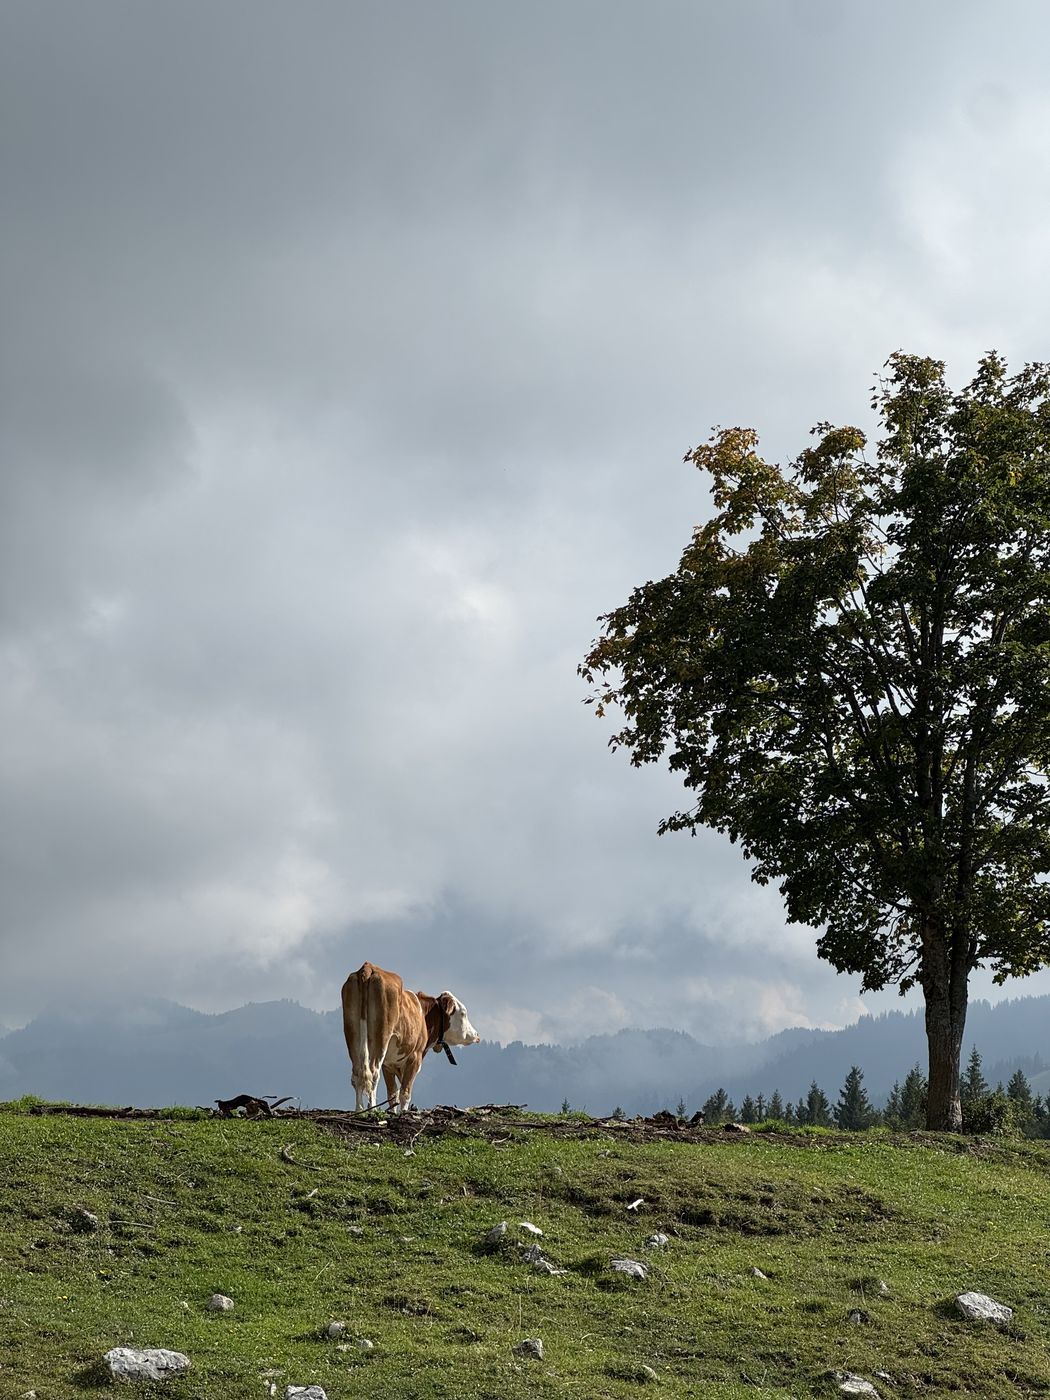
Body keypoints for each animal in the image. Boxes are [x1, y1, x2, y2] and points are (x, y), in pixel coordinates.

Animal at [340, 960, 480, 1113]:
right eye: (463, 1013)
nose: (476, 1035)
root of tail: (369, 967)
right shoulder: (415, 1057)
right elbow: (405, 1093)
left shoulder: (388, 1064)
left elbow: (392, 1094)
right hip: (381, 1038)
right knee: (372, 1073)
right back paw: (371, 1109)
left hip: (352, 1035)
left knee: (357, 1074)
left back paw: (359, 1110)